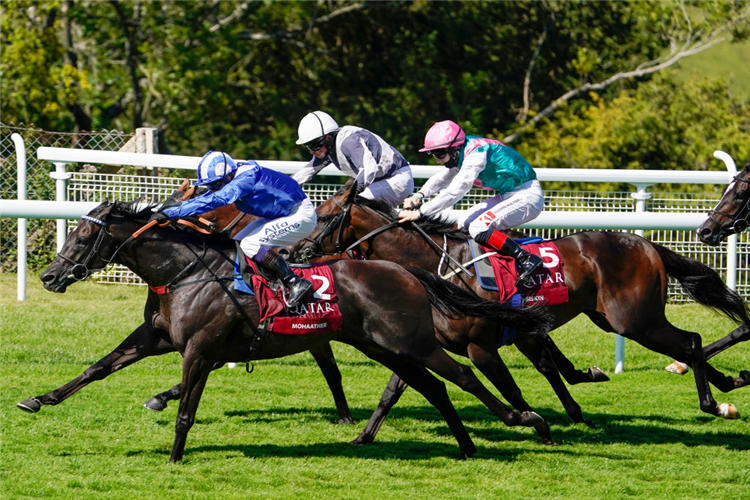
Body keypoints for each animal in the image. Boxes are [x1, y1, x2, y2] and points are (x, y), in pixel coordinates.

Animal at [27, 199, 552, 460]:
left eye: (83, 235)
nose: (49, 276)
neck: (183, 272)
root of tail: (403, 269)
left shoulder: (199, 349)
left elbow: (186, 411)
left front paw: (176, 456)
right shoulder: (156, 338)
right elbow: (98, 368)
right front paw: (39, 398)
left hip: (413, 342)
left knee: (461, 377)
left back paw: (524, 419)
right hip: (383, 346)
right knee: (434, 387)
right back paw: (465, 445)